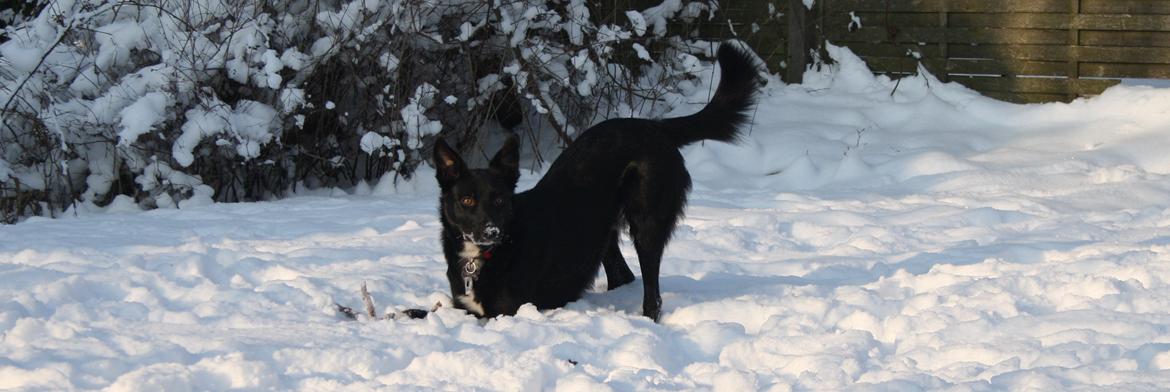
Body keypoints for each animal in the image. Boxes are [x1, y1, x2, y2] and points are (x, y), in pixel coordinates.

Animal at [430, 43, 758, 320]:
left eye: (499, 200)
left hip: (647, 220)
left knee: (652, 292)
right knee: (623, 275)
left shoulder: (506, 311)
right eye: (467, 200)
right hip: (601, 227)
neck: (485, 255)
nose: (491, 232)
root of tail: (654, 126)